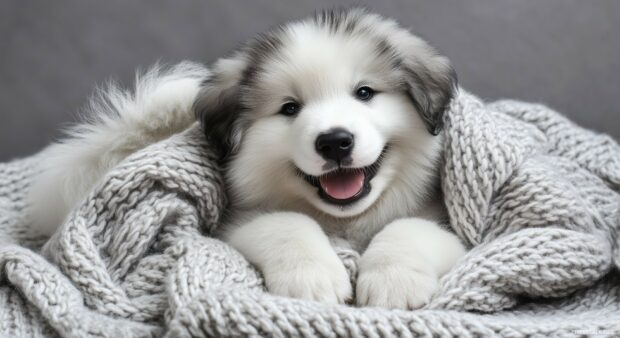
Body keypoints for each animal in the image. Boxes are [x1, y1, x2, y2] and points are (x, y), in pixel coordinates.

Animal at [29, 7, 464, 308]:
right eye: (290, 109)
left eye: (365, 93)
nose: (334, 142)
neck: (347, 222)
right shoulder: (231, 225)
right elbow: (285, 223)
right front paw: (315, 279)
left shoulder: (447, 227)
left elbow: (410, 228)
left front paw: (394, 283)